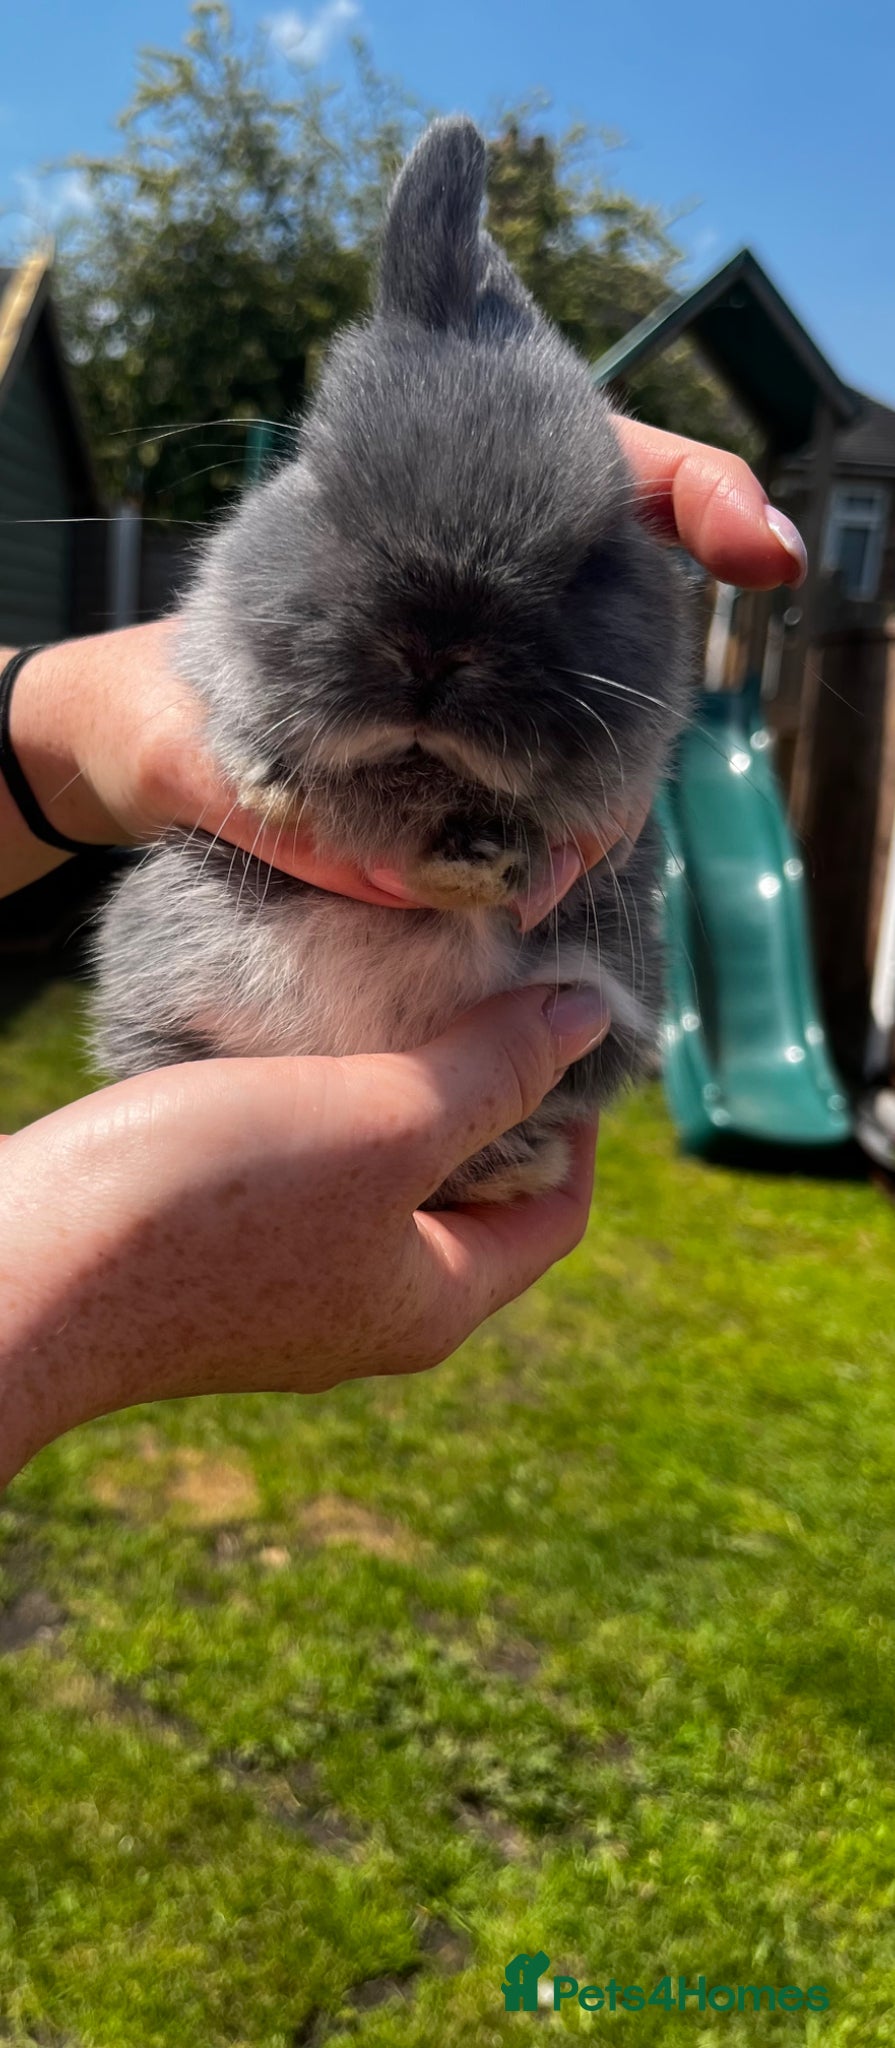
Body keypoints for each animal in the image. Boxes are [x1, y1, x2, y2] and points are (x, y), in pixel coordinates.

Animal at [89, 115, 693, 1209]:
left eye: (593, 553)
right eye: (322, 485)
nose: (432, 645)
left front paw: (487, 861)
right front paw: (274, 783)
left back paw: (511, 1162)